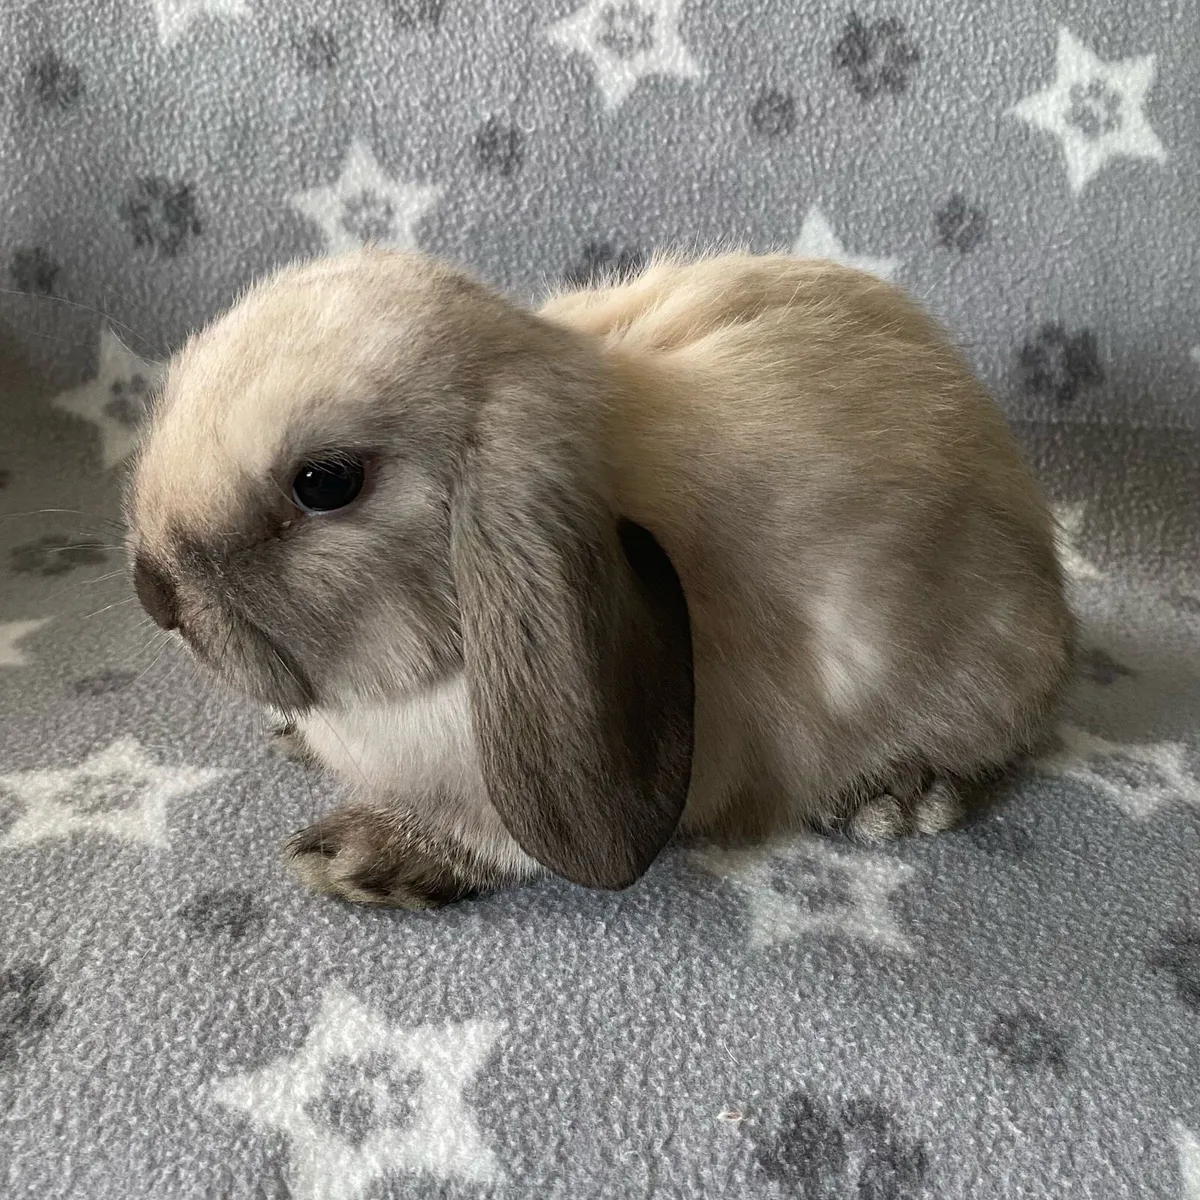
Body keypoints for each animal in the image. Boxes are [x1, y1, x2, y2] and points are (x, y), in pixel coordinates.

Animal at [126, 248, 1073, 909]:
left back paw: (897, 797)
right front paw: (293, 740)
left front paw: (361, 856)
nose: (152, 593)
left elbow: (491, 843)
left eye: (325, 483)